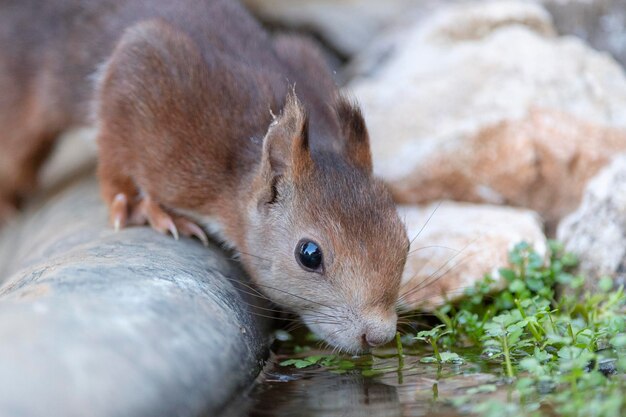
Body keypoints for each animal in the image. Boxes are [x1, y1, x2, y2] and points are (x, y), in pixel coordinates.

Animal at [0, 0, 408, 352]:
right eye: (309, 255)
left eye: (403, 240)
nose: (379, 335)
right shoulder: (150, 75)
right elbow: (114, 148)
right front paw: (137, 205)